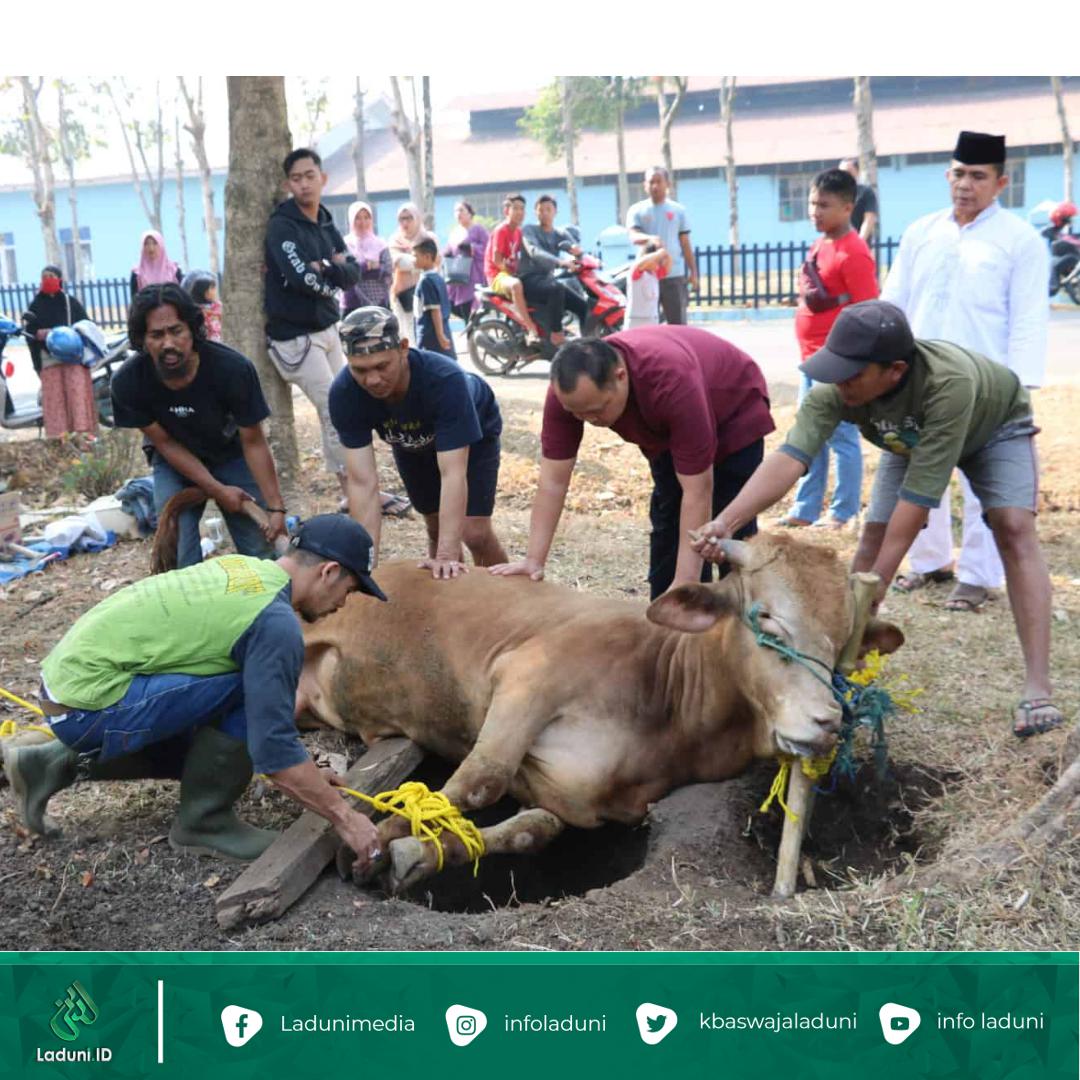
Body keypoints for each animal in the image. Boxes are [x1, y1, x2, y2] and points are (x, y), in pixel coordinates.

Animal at [298, 533, 902, 894]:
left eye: (844, 643)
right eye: (766, 617)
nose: (828, 721)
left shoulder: (582, 803)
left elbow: (534, 827)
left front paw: (417, 853)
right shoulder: (527, 673)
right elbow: (478, 782)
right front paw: (378, 841)